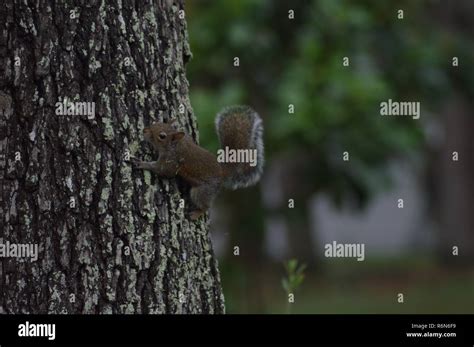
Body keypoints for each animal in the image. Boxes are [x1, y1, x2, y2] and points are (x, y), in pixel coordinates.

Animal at [131, 104, 264, 222]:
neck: (176, 145)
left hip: (201, 191)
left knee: (206, 206)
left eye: (162, 136)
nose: (144, 130)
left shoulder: (172, 161)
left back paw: (196, 214)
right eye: (157, 123)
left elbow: (163, 170)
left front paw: (142, 163)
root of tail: (222, 172)